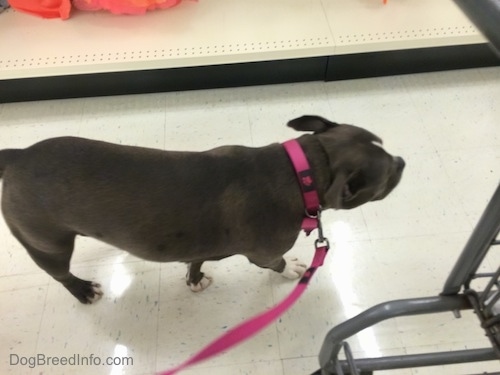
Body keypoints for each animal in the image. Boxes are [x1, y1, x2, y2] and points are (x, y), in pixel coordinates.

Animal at [0, 116, 404, 304]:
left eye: (383, 144)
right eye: (387, 178)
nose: (402, 161)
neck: (301, 169)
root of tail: (17, 156)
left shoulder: (201, 244)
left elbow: (197, 259)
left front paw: (195, 279)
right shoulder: (263, 253)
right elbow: (276, 263)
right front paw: (292, 269)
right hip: (48, 244)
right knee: (59, 274)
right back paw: (83, 290)